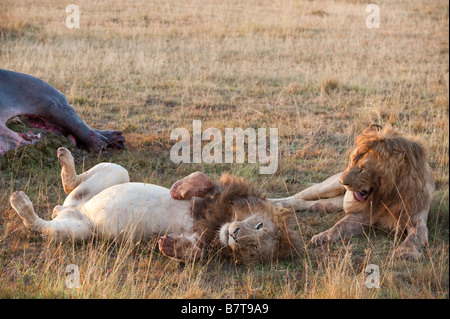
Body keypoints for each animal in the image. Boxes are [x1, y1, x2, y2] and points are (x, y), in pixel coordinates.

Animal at [8, 149, 300, 264]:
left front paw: (170, 246)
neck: (220, 223)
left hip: (79, 230)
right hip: (116, 172)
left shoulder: (200, 239)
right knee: (71, 186)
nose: (236, 235)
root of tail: (69, 210)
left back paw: (21, 202)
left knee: (42, 225)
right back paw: (63, 158)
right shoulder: (215, 196)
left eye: (253, 250)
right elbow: (205, 179)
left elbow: (195, 254)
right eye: (258, 225)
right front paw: (181, 187)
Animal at [272, 124, 434, 262]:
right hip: (325, 188)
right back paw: (274, 203)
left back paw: (280, 207)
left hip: (332, 204)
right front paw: (322, 236)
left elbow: (414, 237)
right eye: (351, 161)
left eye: (362, 169)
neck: (388, 194)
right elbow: (339, 225)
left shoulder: (416, 219)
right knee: (297, 197)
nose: (342, 182)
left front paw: (406, 252)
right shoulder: (362, 214)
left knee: (310, 204)